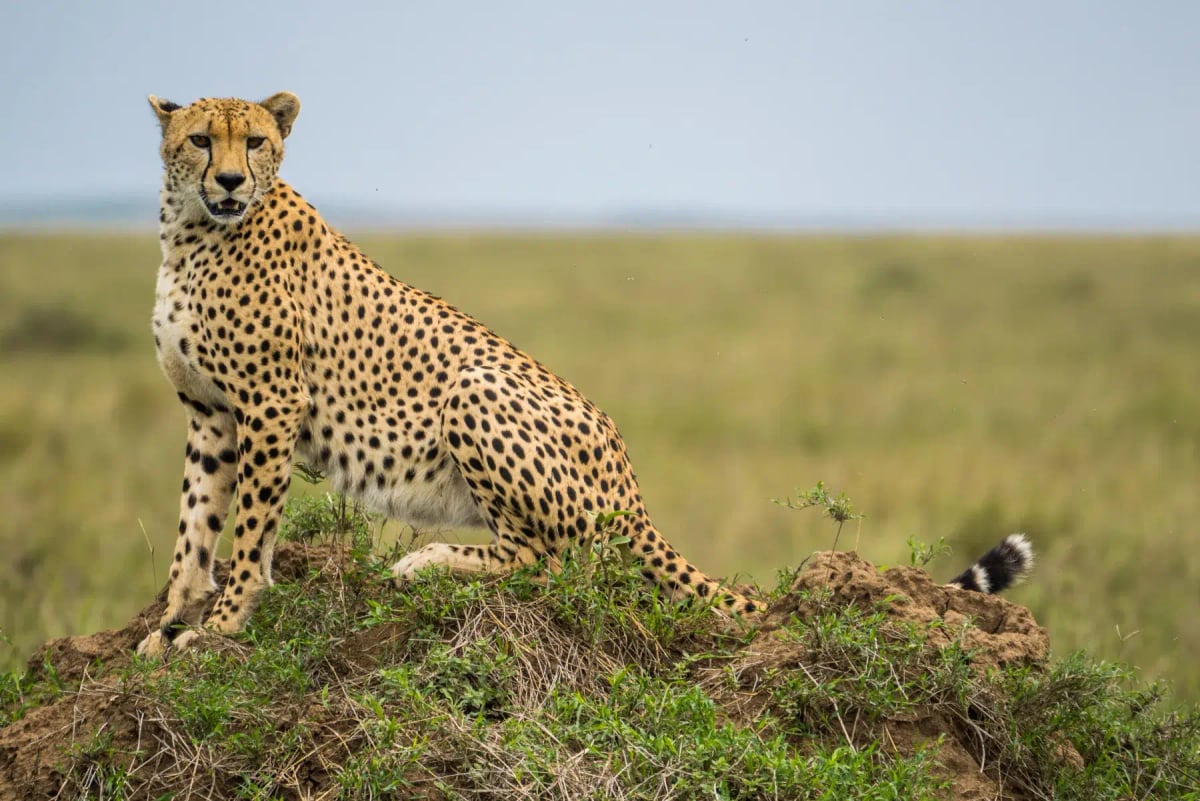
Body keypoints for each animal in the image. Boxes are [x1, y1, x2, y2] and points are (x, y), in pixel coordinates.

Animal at [136, 92, 1032, 656]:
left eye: (254, 140)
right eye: (200, 140)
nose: (229, 180)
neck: (194, 234)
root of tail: (631, 481)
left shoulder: (269, 404)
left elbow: (248, 525)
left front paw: (221, 624)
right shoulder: (210, 413)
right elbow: (195, 524)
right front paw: (169, 618)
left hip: (476, 388)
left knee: (557, 560)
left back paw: (429, 563)